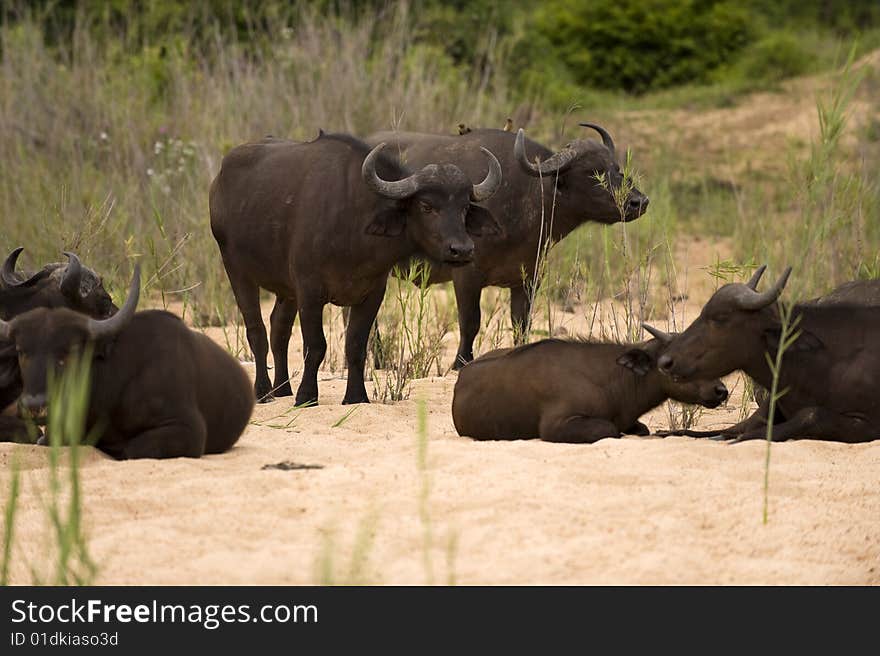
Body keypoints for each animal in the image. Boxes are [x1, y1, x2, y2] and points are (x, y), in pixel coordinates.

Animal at [210, 129, 502, 404]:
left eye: (464, 208)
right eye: (427, 206)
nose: (462, 249)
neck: (353, 224)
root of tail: (219, 181)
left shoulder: (371, 293)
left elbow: (357, 344)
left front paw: (355, 396)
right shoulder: (309, 291)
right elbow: (315, 346)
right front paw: (307, 396)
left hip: (285, 289)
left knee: (278, 330)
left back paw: (282, 389)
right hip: (236, 270)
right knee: (256, 331)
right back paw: (263, 392)